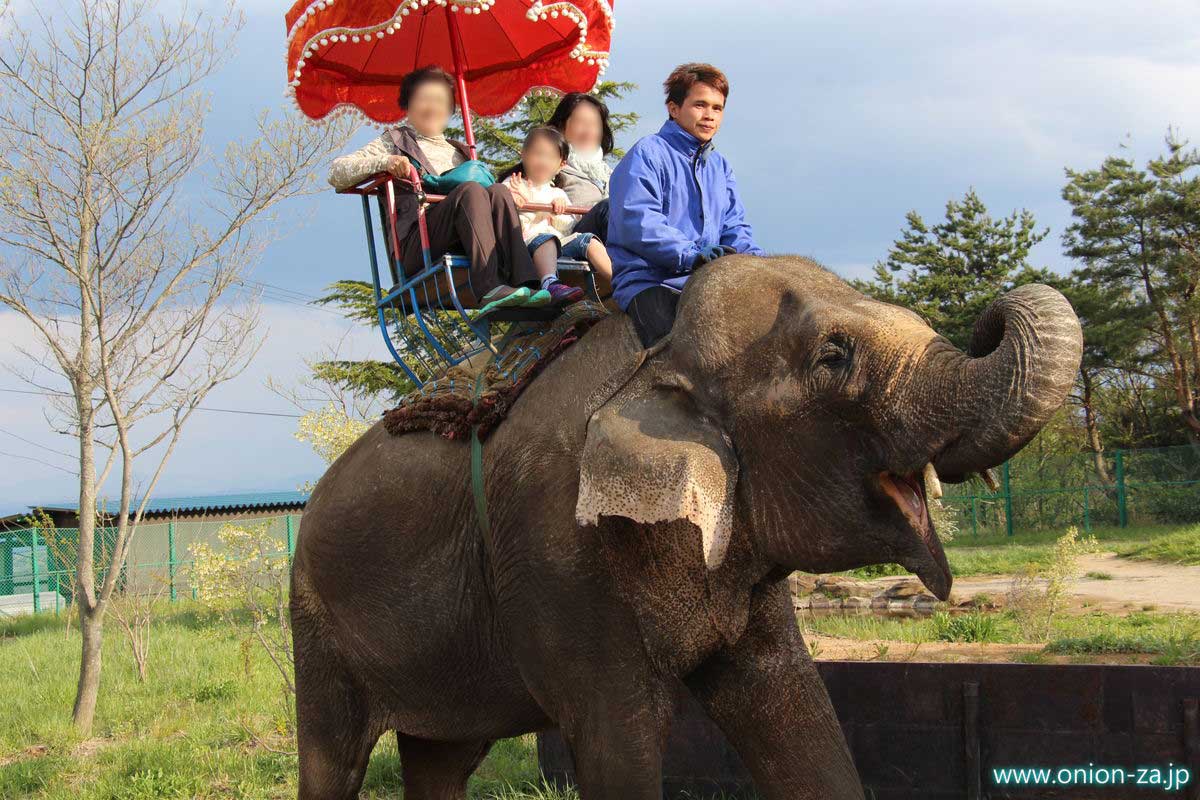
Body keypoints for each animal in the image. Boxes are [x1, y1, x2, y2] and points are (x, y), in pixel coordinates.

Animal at [292, 256, 1089, 800]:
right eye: (834, 357)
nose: (992, 312)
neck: (658, 354)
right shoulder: (556, 550)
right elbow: (619, 738)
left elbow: (793, 706)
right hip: (316, 619)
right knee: (335, 758)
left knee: (443, 756)